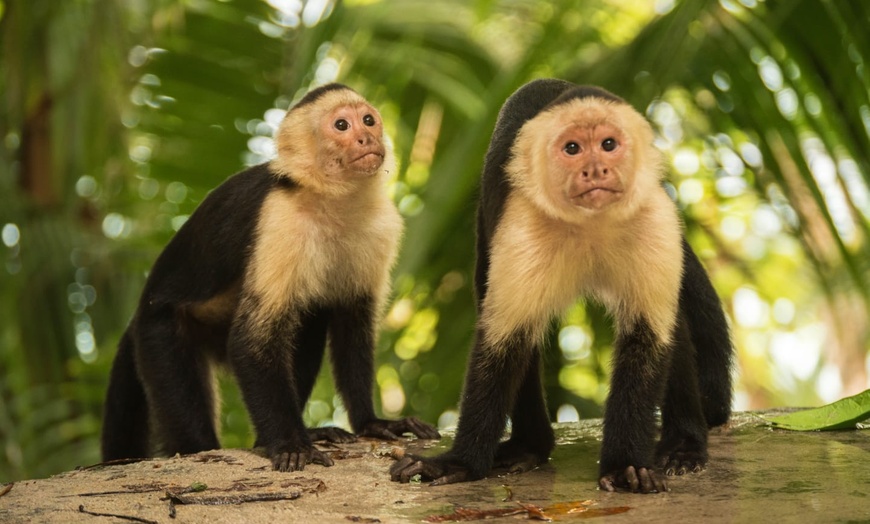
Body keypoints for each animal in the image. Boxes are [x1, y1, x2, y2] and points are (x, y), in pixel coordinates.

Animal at [102, 85, 440, 470]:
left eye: (368, 120)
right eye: (341, 125)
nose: (366, 137)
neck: (331, 199)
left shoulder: (381, 226)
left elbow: (352, 322)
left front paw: (372, 422)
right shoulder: (280, 219)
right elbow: (251, 341)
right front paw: (290, 443)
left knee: (309, 318)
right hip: (157, 332)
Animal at [392, 77, 732, 492]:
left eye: (608, 144)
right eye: (572, 149)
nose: (596, 169)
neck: (592, 223)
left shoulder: (655, 218)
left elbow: (646, 338)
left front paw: (625, 466)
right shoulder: (523, 229)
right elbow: (503, 344)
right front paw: (460, 462)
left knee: (671, 323)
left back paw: (683, 442)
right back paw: (530, 446)